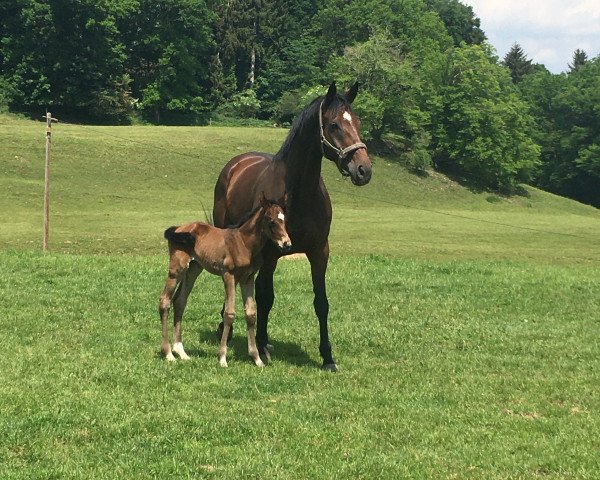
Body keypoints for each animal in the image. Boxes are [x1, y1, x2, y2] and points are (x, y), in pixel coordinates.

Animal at [159, 195, 290, 368]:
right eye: (271, 220)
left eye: (284, 219)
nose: (287, 244)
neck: (244, 243)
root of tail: (178, 228)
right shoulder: (229, 275)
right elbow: (229, 313)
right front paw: (222, 358)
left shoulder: (248, 278)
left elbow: (251, 314)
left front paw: (257, 359)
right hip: (177, 268)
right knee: (165, 300)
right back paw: (168, 354)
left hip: (193, 269)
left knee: (180, 301)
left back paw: (181, 352)